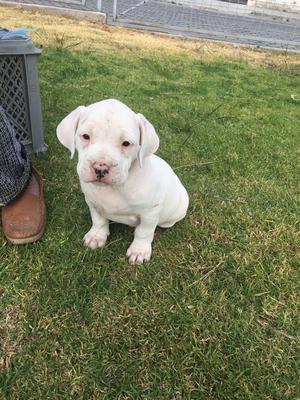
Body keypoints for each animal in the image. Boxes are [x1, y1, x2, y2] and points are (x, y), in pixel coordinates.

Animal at [56, 99, 189, 264]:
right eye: (85, 136)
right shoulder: (92, 202)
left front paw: (139, 251)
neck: (113, 188)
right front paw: (96, 236)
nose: (100, 167)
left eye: (126, 143)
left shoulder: (150, 213)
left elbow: (144, 232)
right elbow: (98, 220)